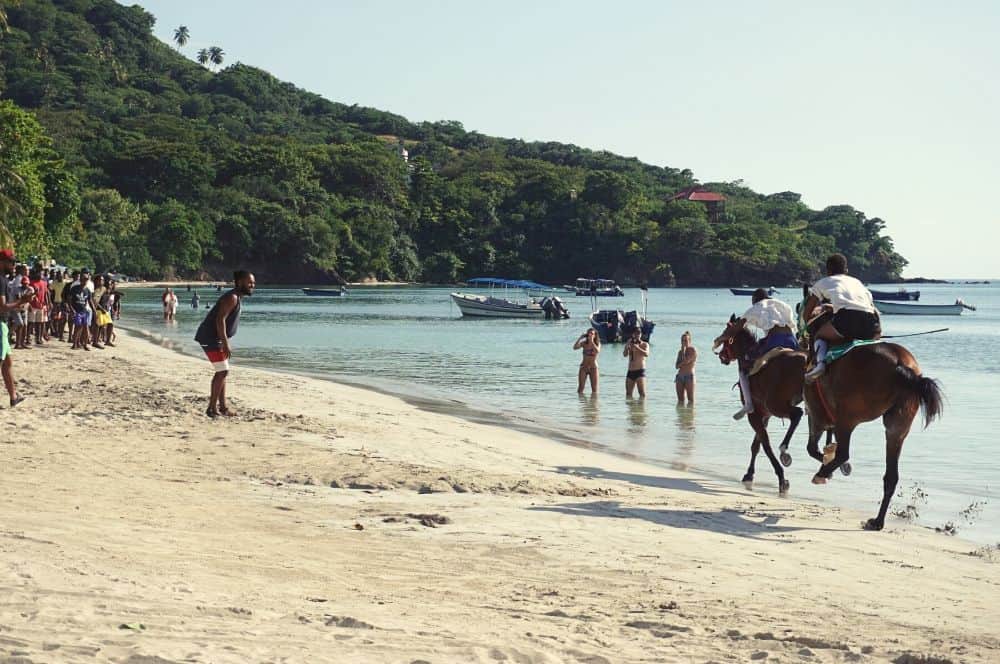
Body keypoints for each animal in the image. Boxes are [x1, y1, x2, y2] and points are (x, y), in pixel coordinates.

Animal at [713, 315, 806, 495]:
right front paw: (749, 473)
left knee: (797, 414)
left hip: (775, 404)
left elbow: (764, 444)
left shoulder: (755, 414)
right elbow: (756, 445)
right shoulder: (764, 414)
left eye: (726, 333)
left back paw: (784, 450)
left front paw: (781, 477)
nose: (721, 355)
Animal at [800, 292, 944, 530]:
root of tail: (901, 366)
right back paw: (877, 521)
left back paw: (822, 474)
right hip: (897, 428)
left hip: (847, 419)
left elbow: (813, 448)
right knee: (891, 476)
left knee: (844, 453)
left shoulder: (816, 415)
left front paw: (828, 467)